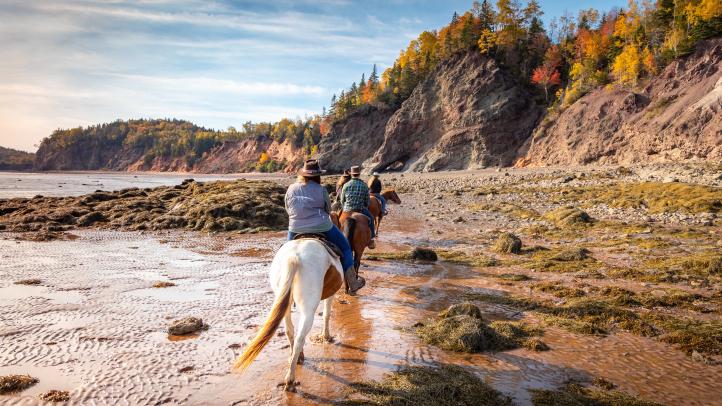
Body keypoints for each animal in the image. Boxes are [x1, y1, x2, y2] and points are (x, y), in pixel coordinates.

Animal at [232, 239, 342, 392]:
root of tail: (294, 255)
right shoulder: (331, 294)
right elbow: (327, 314)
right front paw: (326, 336)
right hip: (308, 309)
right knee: (300, 338)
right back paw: (290, 378)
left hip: (285, 299)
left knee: (290, 331)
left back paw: (296, 359)